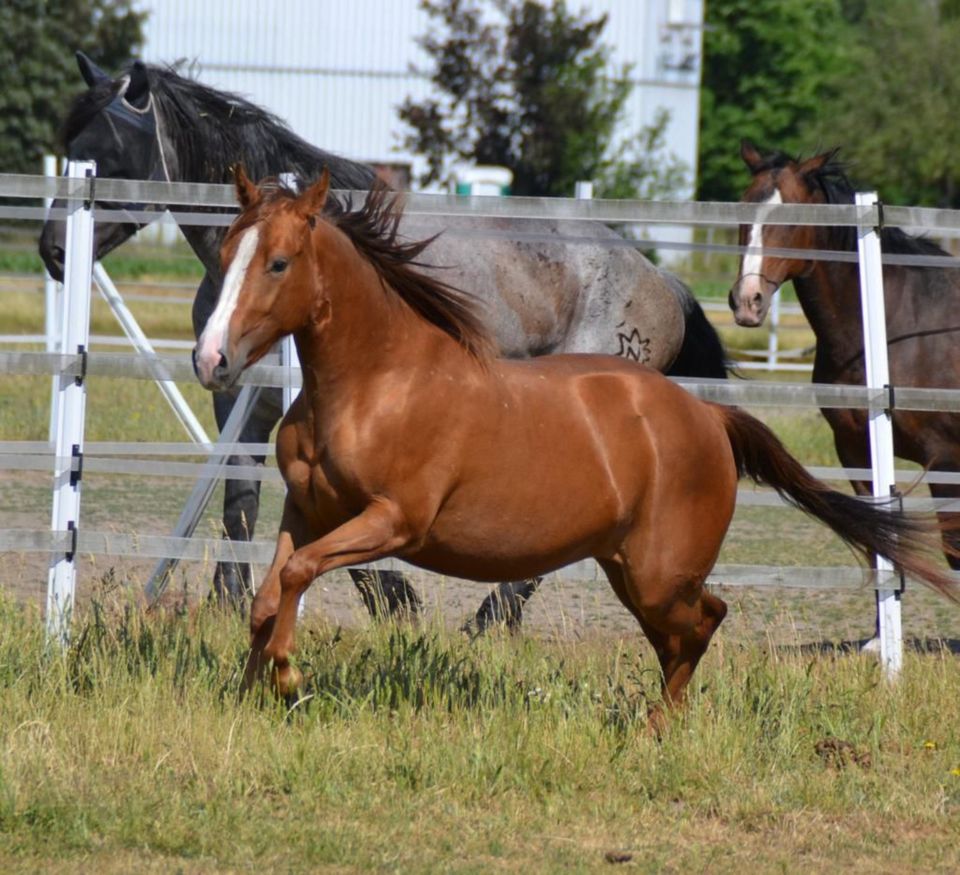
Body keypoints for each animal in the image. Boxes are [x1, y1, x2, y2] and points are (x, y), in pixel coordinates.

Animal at [37, 51, 728, 628]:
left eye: (109, 154)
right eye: (69, 147)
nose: (52, 252)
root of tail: (660, 280)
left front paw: (394, 601)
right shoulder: (239, 403)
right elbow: (239, 502)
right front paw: (229, 601)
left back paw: (489, 624)